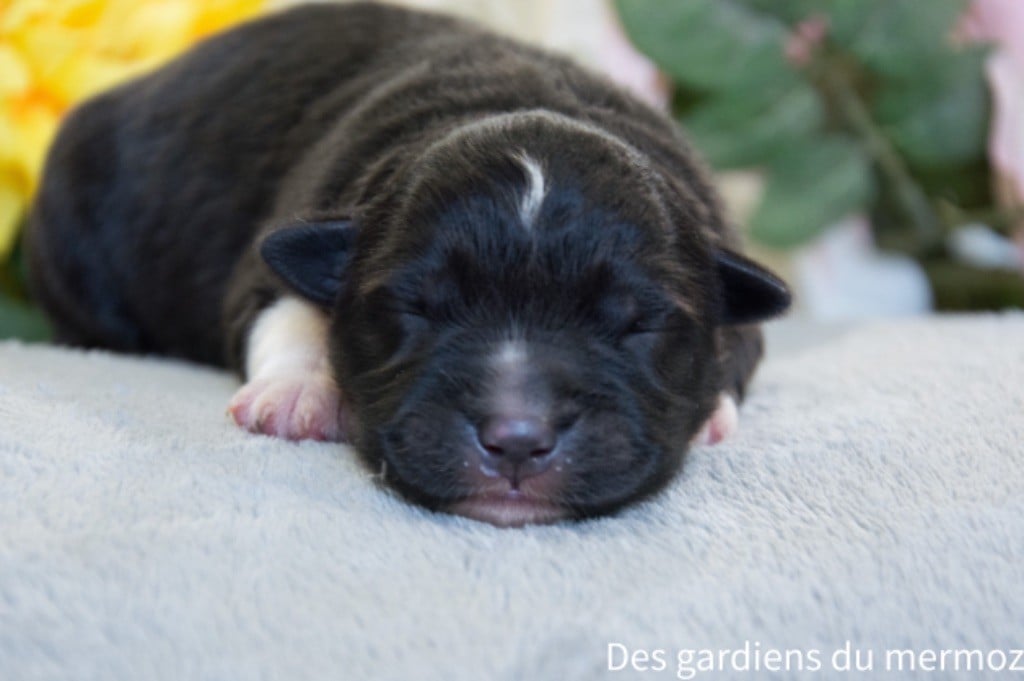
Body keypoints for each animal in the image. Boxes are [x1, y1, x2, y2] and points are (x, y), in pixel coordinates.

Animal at [25, 3, 790, 524]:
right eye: (413, 309)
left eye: (637, 326)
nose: (517, 439)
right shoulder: (285, 245)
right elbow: (289, 310)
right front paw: (300, 392)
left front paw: (713, 408)